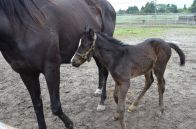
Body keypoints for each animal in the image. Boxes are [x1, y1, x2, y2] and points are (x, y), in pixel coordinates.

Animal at [0, 0, 115, 129]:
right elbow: (37, 106)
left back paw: (102, 101)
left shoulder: (51, 68)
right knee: (101, 69)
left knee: (105, 72)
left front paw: (70, 124)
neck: (21, 27)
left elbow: (55, 106)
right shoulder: (26, 74)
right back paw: (99, 90)